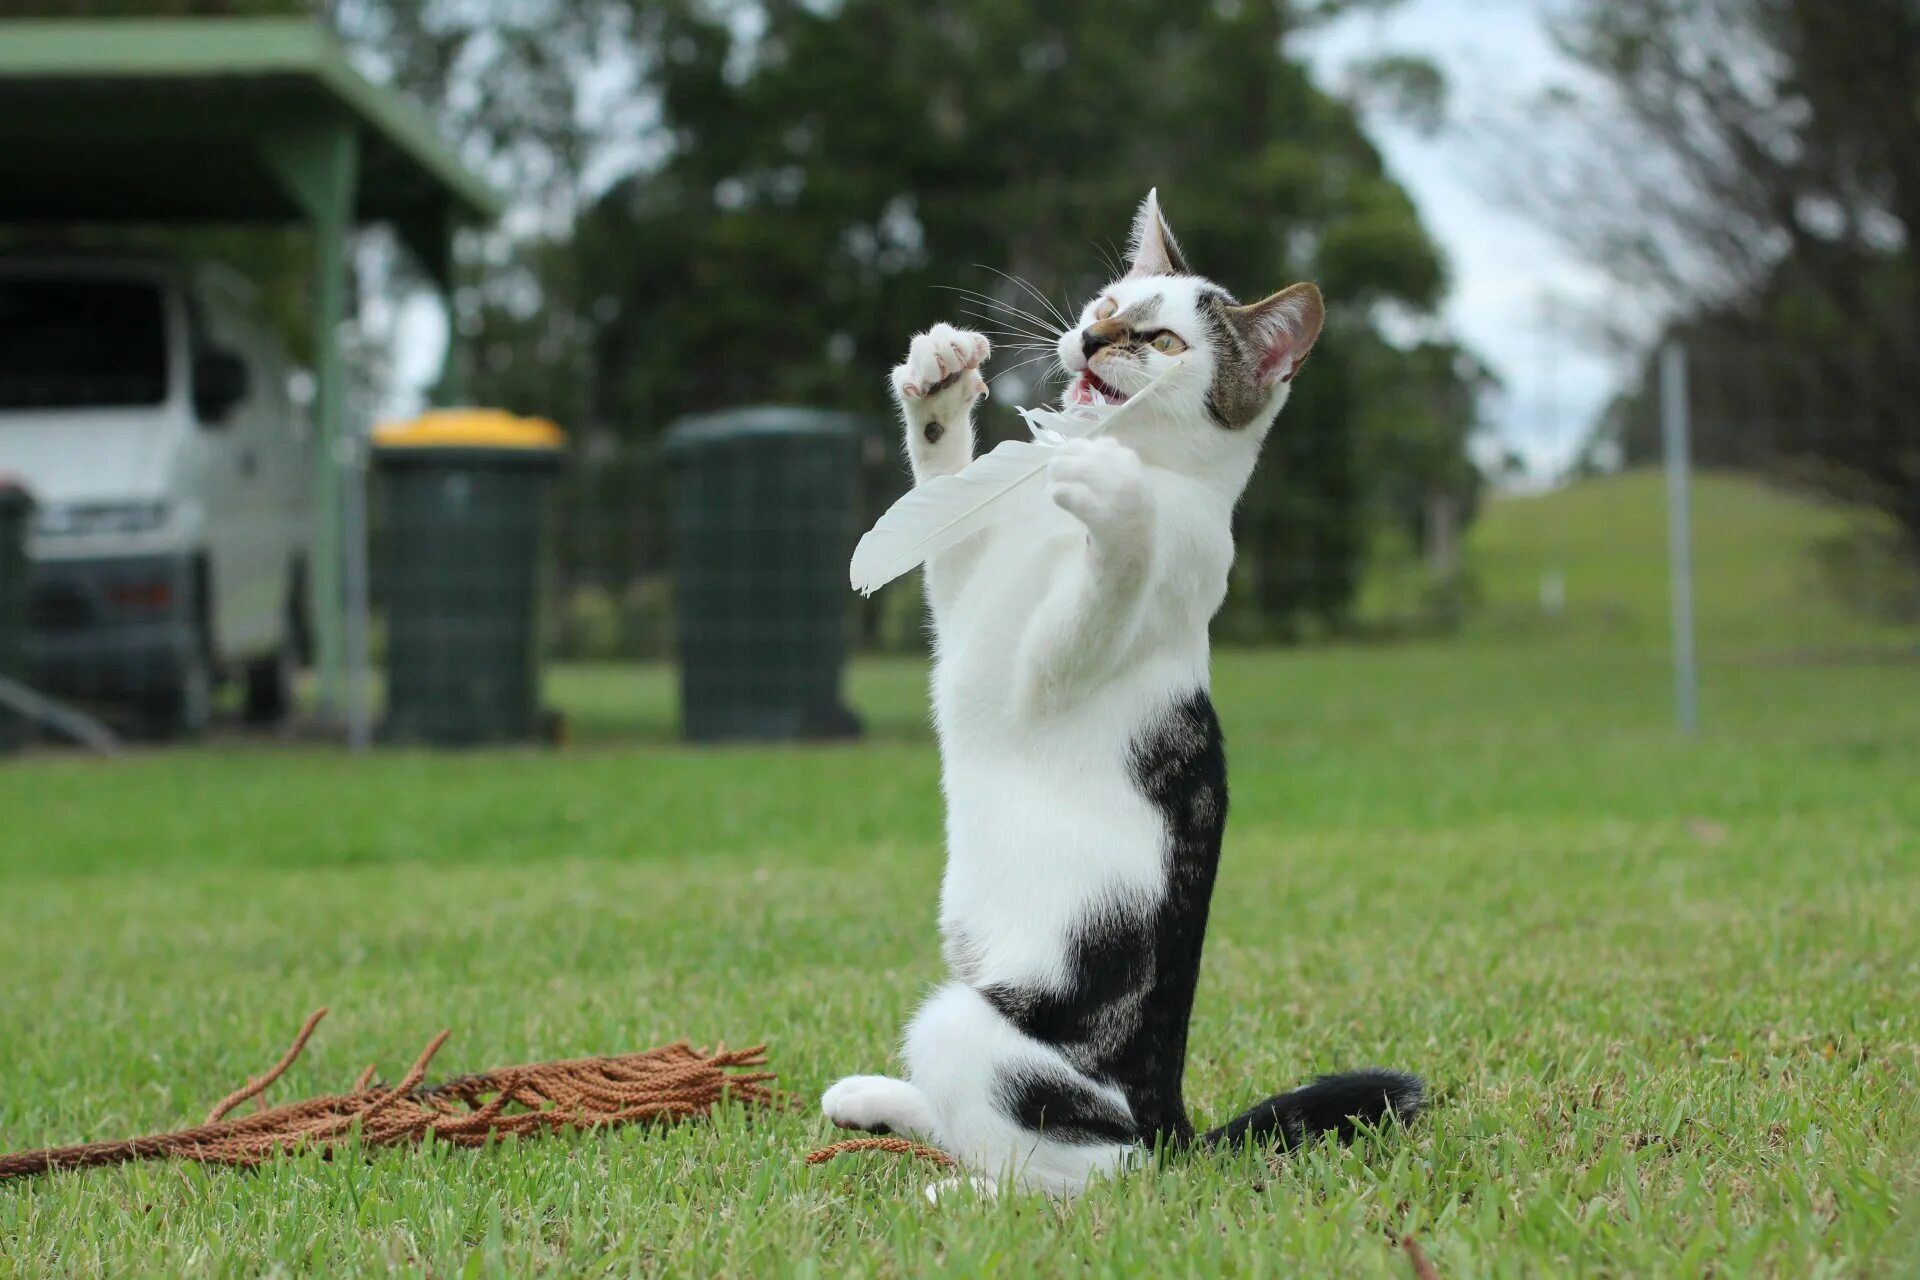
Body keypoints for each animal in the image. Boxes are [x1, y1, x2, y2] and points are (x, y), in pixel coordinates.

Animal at [817, 189, 1420, 1205]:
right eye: (1106, 304)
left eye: (1165, 341)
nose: (1094, 340)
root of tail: (1169, 1118)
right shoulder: (966, 598)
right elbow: (945, 496)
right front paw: (938, 385)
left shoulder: (1057, 664)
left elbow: (1113, 577)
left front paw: (1114, 494)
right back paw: (880, 1102)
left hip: (976, 1033)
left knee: (1082, 1173)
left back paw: (964, 1196)